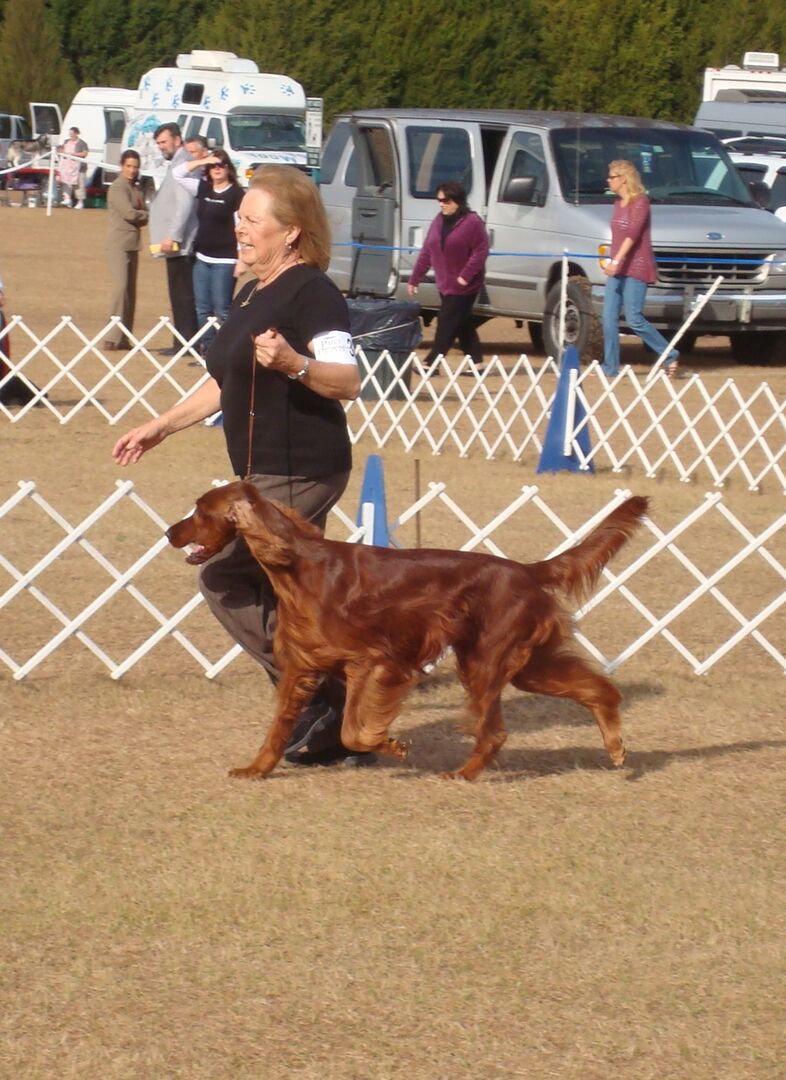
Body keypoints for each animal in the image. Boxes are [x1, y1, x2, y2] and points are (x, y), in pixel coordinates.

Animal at [164, 486, 643, 781]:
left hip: (486, 660)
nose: (169, 532)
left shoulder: (374, 661)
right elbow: (279, 729)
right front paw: (256, 769)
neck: (296, 567)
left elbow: (353, 730)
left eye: (201, 511)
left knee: (495, 731)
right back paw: (616, 748)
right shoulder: (301, 667)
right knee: (599, 690)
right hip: (523, 664)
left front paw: (392, 745)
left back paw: (464, 774)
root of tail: (525, 570)